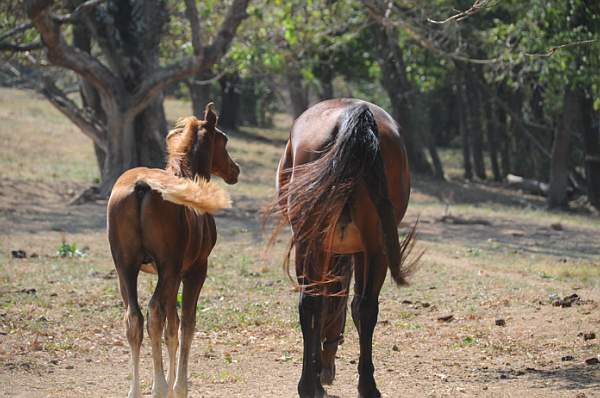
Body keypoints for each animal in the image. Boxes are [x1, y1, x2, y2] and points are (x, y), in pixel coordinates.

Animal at [108, 105, 239, 398]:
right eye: (223, 140)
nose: (234, 169)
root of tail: (142, 186)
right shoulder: (194, 270)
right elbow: (186, 324)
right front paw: (178, 386)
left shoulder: (173, 274)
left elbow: (173, 325)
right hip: (167, 269)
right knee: (154, 312)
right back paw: (159, 386)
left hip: (125, 268)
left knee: (134, 318)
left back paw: (135, 390)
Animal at [274, 99, 414, 398]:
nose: (329, 371)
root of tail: (354, 113)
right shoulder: (359, 251)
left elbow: (325, 303)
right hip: (375, 247)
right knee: (365, 307)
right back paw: (366, 386)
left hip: (313, 242)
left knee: (312, 303)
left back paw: (309, 385)